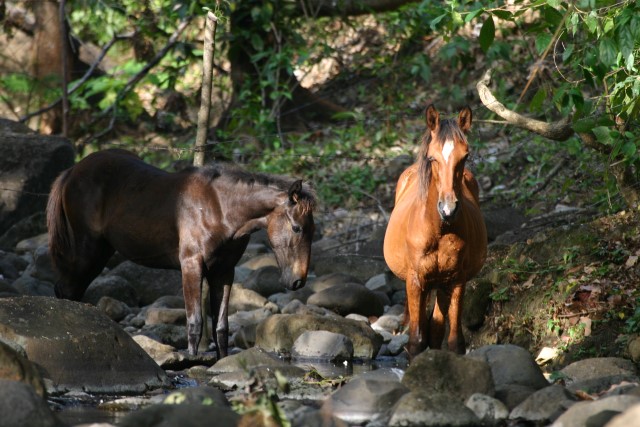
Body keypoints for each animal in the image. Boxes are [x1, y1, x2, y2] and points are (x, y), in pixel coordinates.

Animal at [46, 150, 316, 358]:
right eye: (296, 227)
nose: (297, 280)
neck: (219, 209)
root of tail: (71, 171)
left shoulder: (224, 272)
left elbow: (220, 326)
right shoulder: (191, 266)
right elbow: (195, 323)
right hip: (87, 251)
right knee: (66, 289)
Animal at [382, 105, 488, 360]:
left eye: (465, 156)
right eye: (432, 158)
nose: (448, 209)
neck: (438, 231)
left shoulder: (456, 280)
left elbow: (453, 340)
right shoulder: (415, 281)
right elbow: (416, 340)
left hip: (441, 285)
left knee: (437, 330)